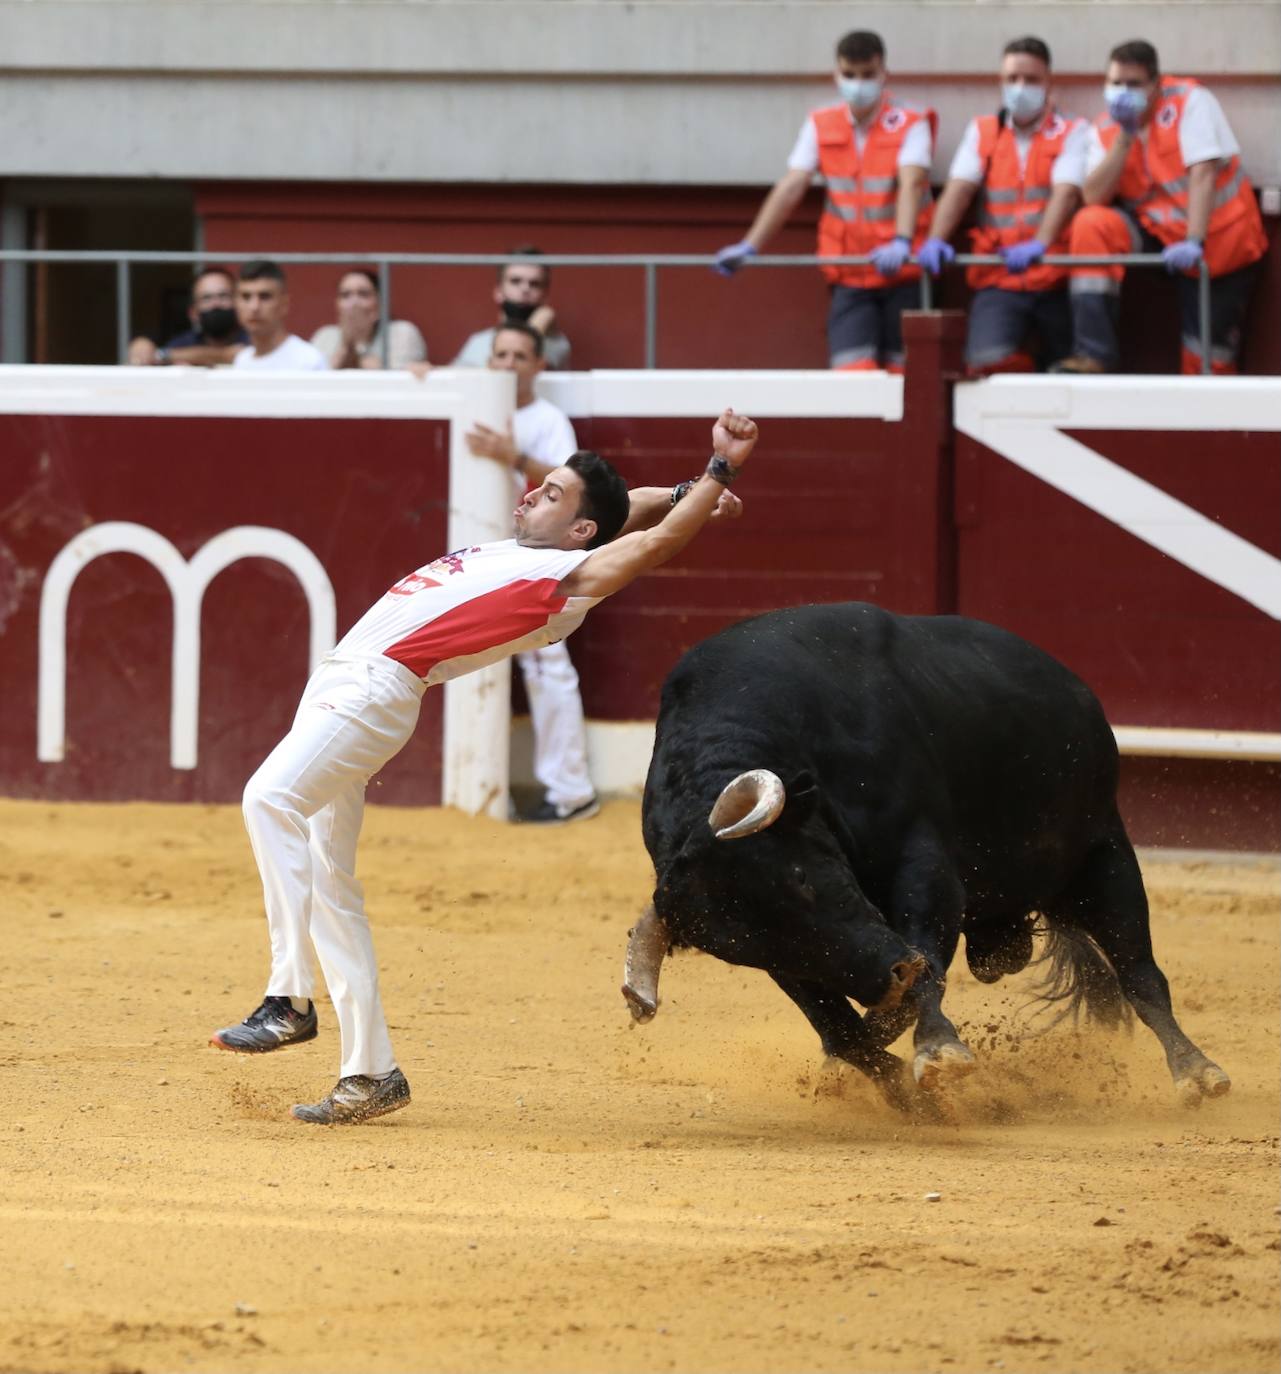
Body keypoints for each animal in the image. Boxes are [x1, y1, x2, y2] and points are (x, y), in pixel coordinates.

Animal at [626, 607, 1226, 1110]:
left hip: (1103, 856)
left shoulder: (922, 866)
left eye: (801, 878)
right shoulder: (792, 966)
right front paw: (901, 1089)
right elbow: (838, 1026)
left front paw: (937, 1051)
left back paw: (1197, 1072)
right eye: (751, 946)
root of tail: (1073, 686)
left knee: (1140, 973)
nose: (887, 976)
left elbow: (924, 962)